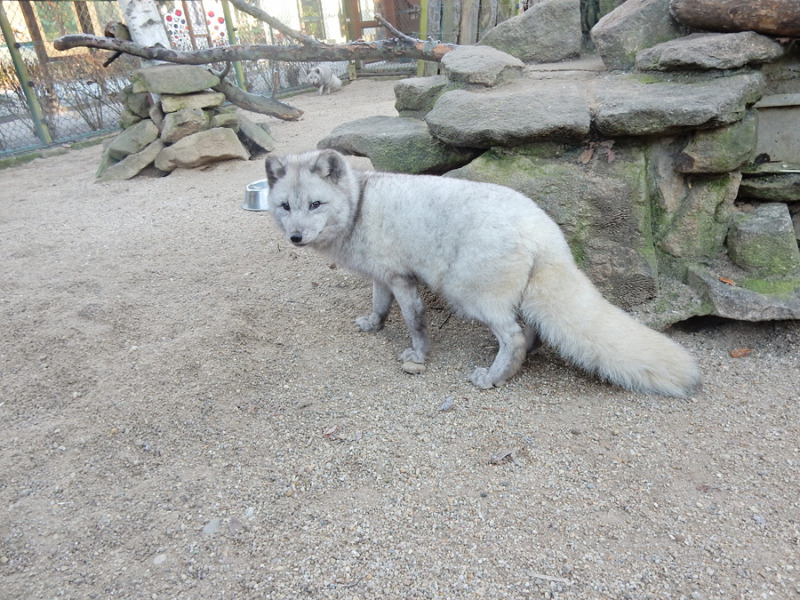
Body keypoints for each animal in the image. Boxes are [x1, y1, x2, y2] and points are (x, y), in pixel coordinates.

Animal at [266, 149, 704, 398]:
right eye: (286, 206)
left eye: (316, 204)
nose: (295, 237)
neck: (359, 205)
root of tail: (544, 232)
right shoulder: (382, 276)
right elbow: (379, 306)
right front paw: (373, 325)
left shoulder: (403, 280)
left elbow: (414, 322)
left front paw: (419, 356)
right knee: (528, 332)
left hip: (467, 295)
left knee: (513, 334)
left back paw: (494, 378)